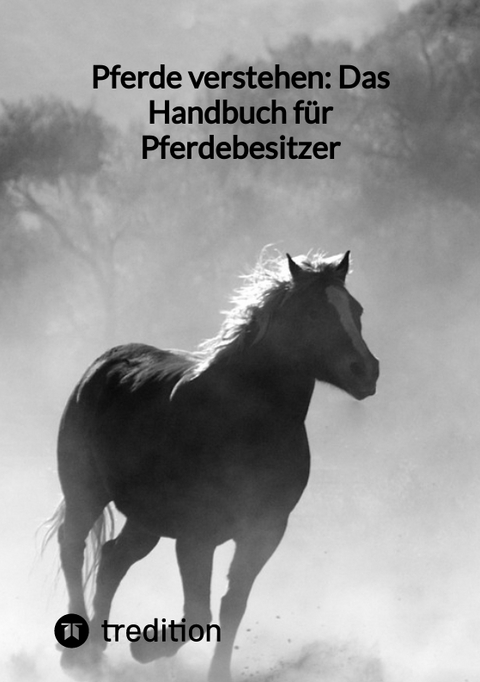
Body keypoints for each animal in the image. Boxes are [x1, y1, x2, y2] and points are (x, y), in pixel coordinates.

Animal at [47, 250, 379, 682]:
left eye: (356, 310)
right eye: (311, 313)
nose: (366, 370)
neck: (245, 423)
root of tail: (102, 365)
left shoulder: (265, 531)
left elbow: (232, 605)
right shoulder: (196, 535)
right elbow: (199, 613)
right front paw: (144, 648)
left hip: (147, 518)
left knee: (113, 557)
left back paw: (98, 650)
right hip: (85, 491)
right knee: (73, 547)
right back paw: (78, 656)